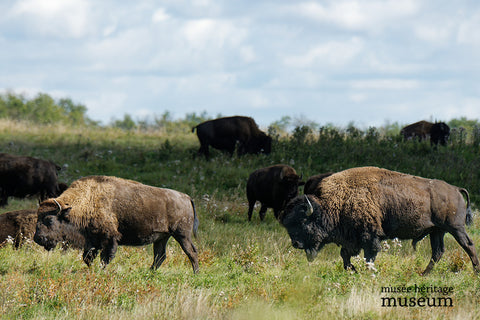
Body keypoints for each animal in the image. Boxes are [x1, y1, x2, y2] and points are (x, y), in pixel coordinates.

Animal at [33, 176, 199, 274]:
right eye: (37, 218)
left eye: (49, 220)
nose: (37, 238)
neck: (87, 200)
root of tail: (186, 197)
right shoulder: (92, 241)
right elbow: (88, 258)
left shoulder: (109, 239)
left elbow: (105, 258)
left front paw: (101, 271)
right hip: (162, 237)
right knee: (160, 255)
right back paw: (149, 273)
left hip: (182, 235)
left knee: (191, 252)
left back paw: (195, 273)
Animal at [280, 166, 478, 274]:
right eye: (288, 225)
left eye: (303, 223)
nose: (296, 243)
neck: (336, 202)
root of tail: (455, 189)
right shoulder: (351, 240)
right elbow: (345, 256)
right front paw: (353, 270)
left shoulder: (370, 237)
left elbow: (369, 257)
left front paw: (366, 273)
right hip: (437, 231)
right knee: (437, 252)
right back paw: (423, 275)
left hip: (455, 228)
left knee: (468, 245)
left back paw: (475, 272)